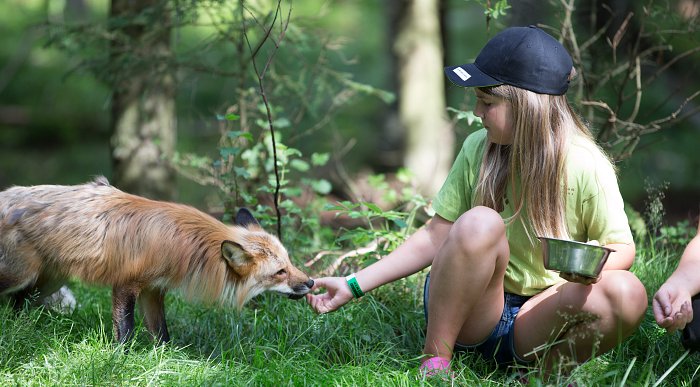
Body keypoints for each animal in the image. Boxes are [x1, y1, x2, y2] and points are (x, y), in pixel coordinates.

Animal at [0, 177, 314, 344]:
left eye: (290, 263)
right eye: (280, 272)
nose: (311, 282)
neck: (180, 244)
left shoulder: (153, 289)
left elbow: (162, 333)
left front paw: (165, 360)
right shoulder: (126, 284)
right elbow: (125, 331)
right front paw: (120, 360)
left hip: (50, 281)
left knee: (19, 302)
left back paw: (18, 328)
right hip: (19, 275)